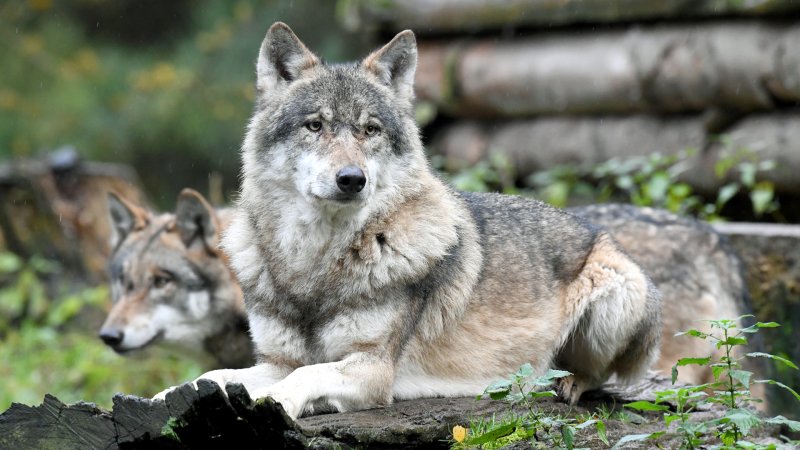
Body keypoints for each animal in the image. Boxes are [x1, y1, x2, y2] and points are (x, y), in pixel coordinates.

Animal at [154, 22, 663, 419]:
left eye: (370, 130)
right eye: (315, 126)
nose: (351, 179)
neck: (315, 264)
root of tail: (600, 233)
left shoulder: (372, 369)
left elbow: (304, 375)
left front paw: (276, 402)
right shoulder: (274, 360)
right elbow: (215, 375)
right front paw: (163, 397)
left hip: (616, 292)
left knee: (606, 376)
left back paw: (563, 382)